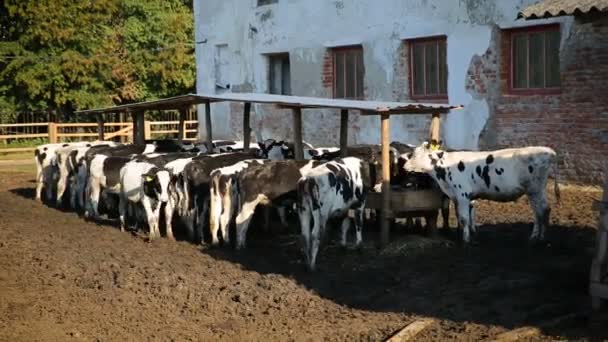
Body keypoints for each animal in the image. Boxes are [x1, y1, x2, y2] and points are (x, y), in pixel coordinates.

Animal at [404, 142, 560, 243]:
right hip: (533, 191)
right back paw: (535, 236)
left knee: (544, 210)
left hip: (535, 189)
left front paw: (466, 240)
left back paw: (541, 238)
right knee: (538, 212)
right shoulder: (459, 197)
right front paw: (463, 234)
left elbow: (464, 218)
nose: (405, 166)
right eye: (412, 154)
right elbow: (462, 216)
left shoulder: (462, 194)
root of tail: (549, 151)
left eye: (419, 156)